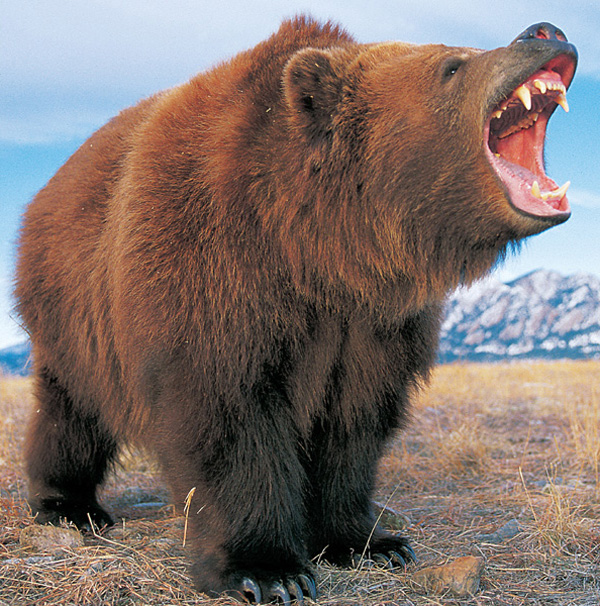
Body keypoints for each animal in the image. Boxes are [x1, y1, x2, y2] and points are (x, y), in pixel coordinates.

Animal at [15, 16, 576, 604]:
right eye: (453, 65)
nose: (544, 31)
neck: (317, 249)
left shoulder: (372, 326)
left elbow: (353, 425)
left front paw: (369, 542)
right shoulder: (212, 270)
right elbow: (229, 416)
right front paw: (267, 570)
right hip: (74, 314)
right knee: (72, 415)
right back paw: (68, 505)